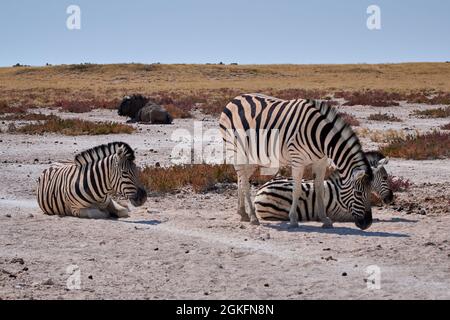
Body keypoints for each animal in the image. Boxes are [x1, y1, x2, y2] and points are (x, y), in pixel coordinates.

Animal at [220, 93, 374, 230]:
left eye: (371, 192)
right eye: (358, 194)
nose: (367, 224)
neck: (320, 136)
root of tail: (235, 99)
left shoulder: (321, 161)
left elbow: (319, 189)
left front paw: (325, 219)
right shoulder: (297, 160)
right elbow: (297, 190)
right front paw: (293, 219)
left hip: (253, 156)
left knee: (241, 179)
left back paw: (242, 213)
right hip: (235, 149)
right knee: (245, 183)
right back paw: (252, 217)